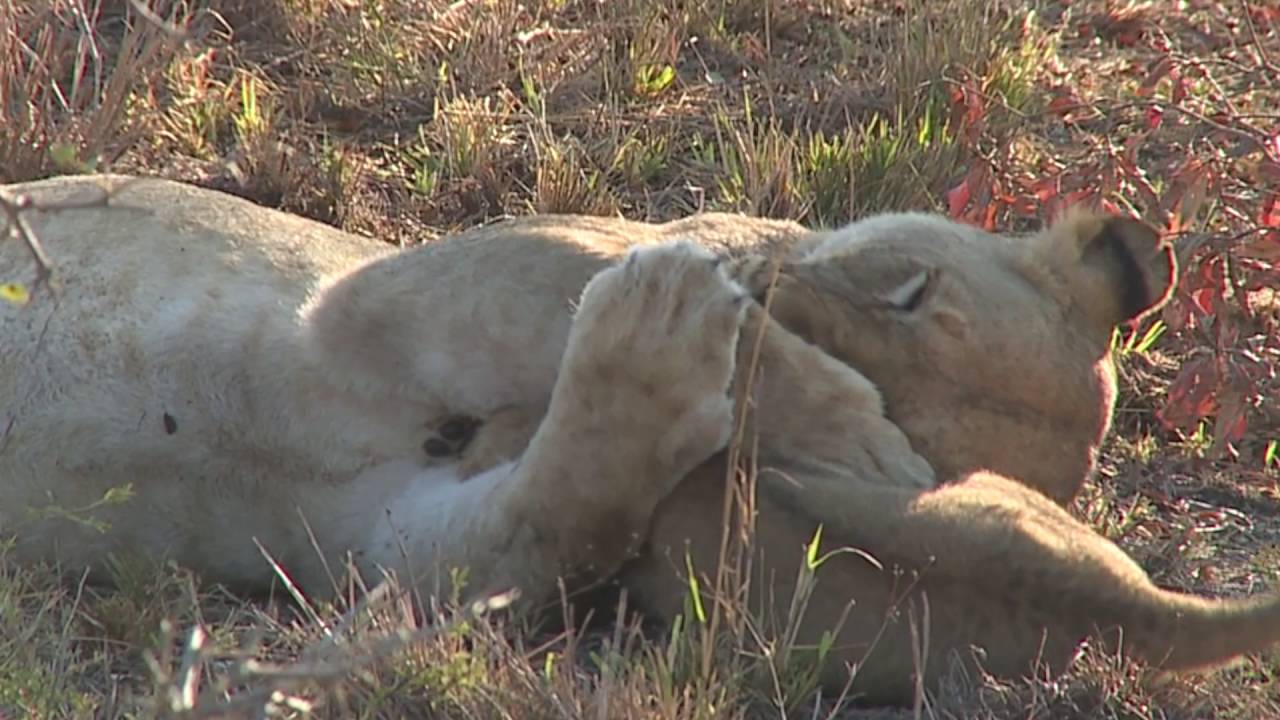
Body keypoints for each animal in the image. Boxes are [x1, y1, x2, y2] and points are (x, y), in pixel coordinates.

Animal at [2, 174, 1279, 707]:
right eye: (908, 292)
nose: (761, 282)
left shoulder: (383, 529)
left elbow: (537, 527)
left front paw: (662, 339)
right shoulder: (383, 288)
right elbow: (622, 293)